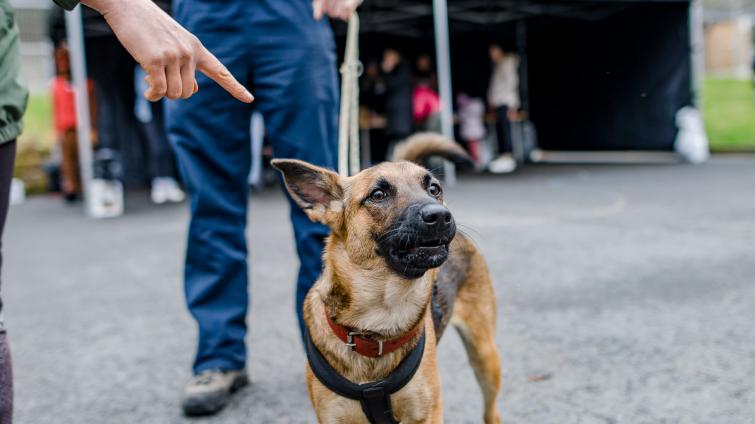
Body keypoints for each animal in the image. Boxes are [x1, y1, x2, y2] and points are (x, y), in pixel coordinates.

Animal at [272, 133, 502, 424]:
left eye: (434, 189)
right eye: (378, 195)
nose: (441, 216)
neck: (381, 314)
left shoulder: (427, 414)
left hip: (485, 358)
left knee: (491, 412)